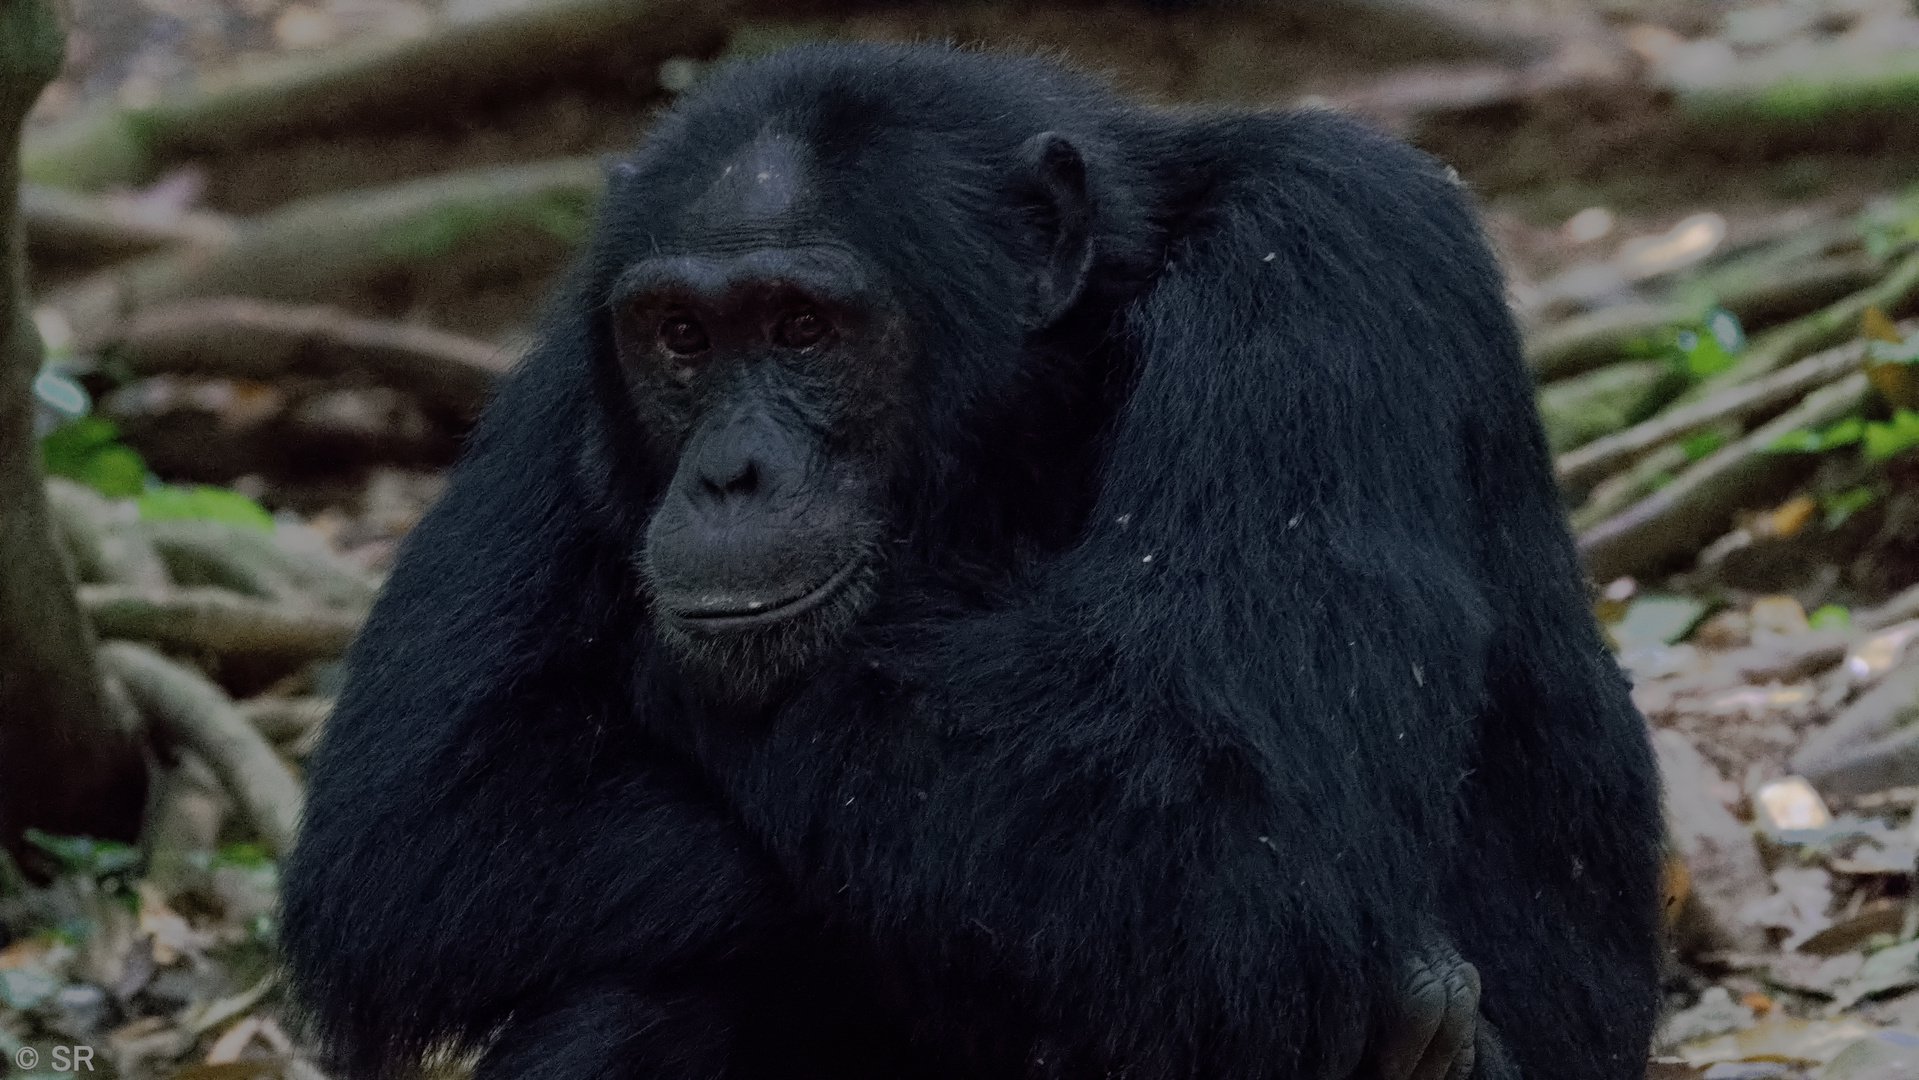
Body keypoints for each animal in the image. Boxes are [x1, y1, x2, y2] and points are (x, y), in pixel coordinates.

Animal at [280, 40, 1665, 1080]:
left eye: (801, 328)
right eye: (679, 337)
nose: (728, 473)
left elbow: (1232, 828)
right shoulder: (564, 374)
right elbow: (424, 809)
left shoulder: (1330, 260)